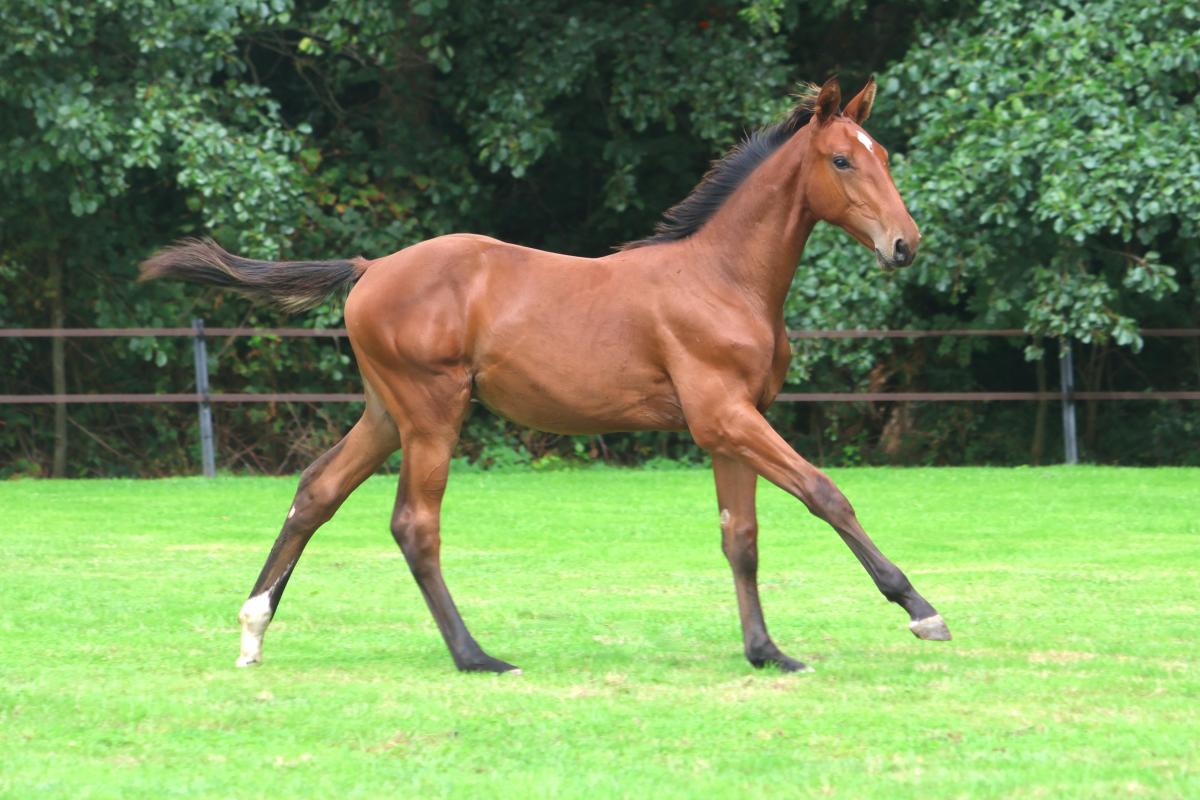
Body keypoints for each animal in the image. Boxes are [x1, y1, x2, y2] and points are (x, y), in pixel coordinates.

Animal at [141, 77, 950, 675]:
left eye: (882, 154)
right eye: (842, 160)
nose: (905, 244)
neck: (722, 278)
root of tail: (368, 269)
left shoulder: (731, 424)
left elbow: (741, 537)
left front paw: (766, 652)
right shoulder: (725, 415)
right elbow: (825, 494)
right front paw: (920, 609)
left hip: (385, 413)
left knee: (315, 492)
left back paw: (253, 632)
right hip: (432, 411)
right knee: (414, 524)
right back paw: (476, 657)